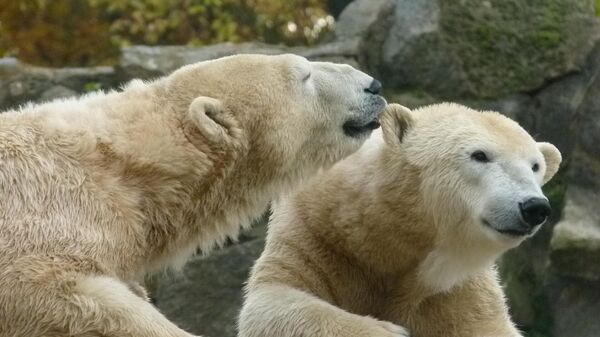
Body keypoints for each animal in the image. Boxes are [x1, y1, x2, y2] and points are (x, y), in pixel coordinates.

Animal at [239, 102, 564, 336]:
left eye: (535, 165)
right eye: (480, 155)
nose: (534, 206)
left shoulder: (455, 288)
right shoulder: (314, 234)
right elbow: (273, 301)